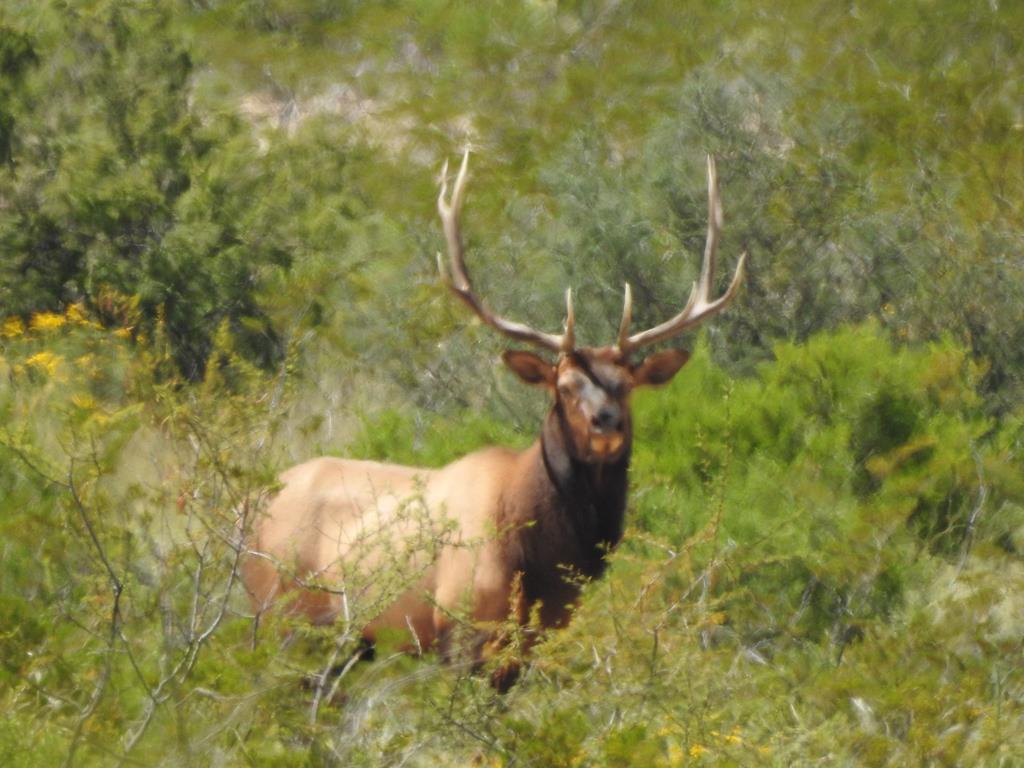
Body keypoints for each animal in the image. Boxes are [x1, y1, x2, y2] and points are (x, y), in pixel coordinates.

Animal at [245, 151, 745, 692]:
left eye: (626, 386)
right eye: (564, 387)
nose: (605, 423)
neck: (541, 561)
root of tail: (251, 508)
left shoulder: (531, 645)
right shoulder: (460, 627)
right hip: (279, 616)